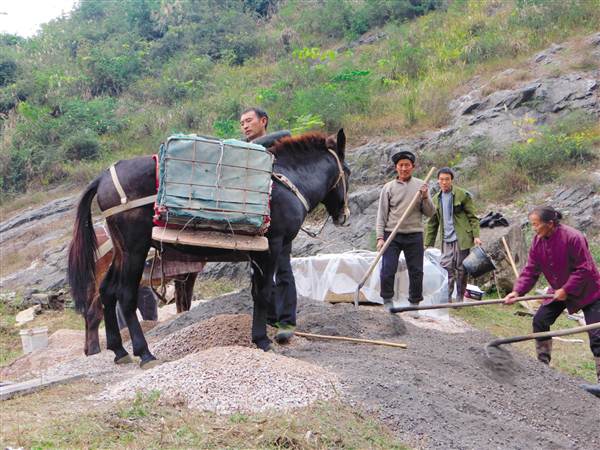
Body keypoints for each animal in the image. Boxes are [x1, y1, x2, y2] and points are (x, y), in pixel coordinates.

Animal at [68, 130, 350, 366]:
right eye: (347, 170)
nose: (343, 216)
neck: (286, 184)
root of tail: (103, 177)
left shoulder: (258, 252)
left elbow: (257, 291)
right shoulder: (273, 247)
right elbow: (264, 292)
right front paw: (262, 340)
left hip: (121, 251)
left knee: (106, 292)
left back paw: (119, 351)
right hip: (135, 249)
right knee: (125, 296)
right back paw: (144, 353)